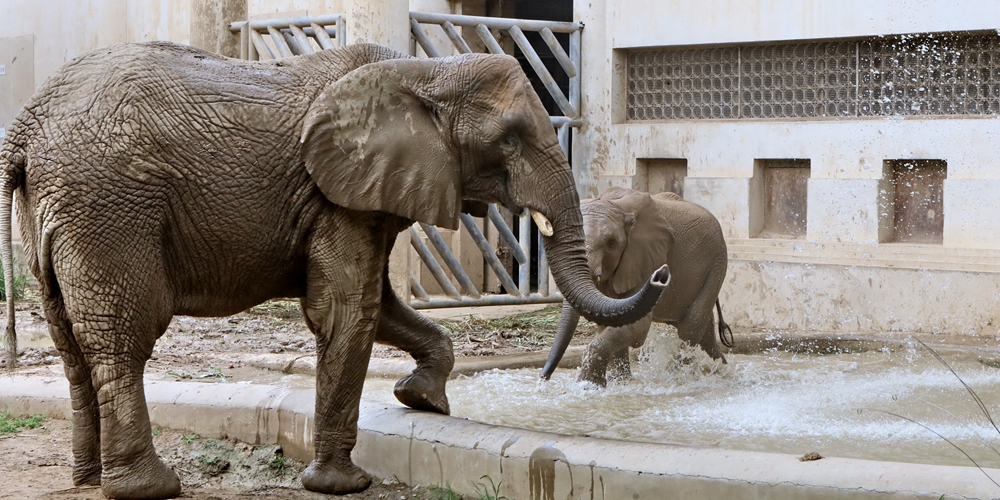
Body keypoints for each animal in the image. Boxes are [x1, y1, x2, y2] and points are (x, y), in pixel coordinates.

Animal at [1, 42, 672, 496]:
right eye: (508, 139)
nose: (662, 276)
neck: (425, 72)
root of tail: (25, 129)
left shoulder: (360, 194)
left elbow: (381, 306)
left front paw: (422, 400)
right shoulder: (337, 196)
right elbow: (348, 309)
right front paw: (343, 484)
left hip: (58, 210)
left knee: (69, 340)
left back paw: (87, 478)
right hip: (109, 204)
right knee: (122, 336)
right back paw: (149, 487)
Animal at [544, 188, 732, 386]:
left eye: (611, 244)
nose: (544, 377)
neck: (612, 203)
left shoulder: (646, 258)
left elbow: (638, 324)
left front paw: (589, 385)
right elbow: (612, 318)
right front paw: (620, 382)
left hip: (717, 262)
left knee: (690, 327)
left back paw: (676, 376)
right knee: (704, 333)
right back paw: (719, 372)